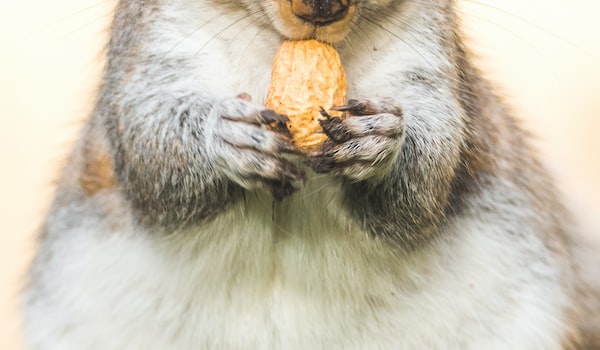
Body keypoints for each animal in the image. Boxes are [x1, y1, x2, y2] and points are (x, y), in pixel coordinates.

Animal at [21, 0, 596, 348]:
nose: (322, 7)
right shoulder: (149, 52)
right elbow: (149, 150)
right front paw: (223, 136)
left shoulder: (429, 62)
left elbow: (425, 184)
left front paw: (382, 140)